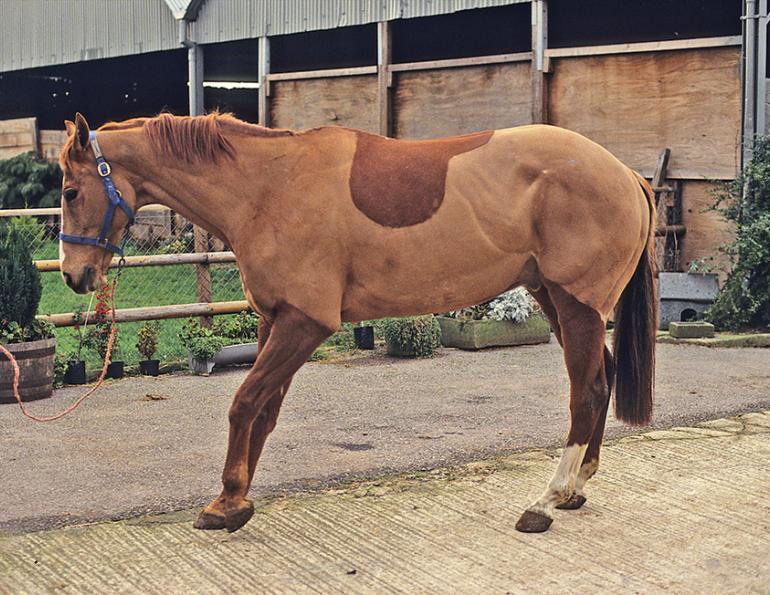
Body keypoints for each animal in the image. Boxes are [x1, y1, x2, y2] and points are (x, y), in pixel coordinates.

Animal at [58, 111, 656, 534]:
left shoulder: (304, 323)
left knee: (587, 391)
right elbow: (264, 411)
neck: (269, 186)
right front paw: (237, 497)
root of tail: (627, 175)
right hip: (554, 298)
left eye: (69, 191)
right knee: (599, 378)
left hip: (576, 304)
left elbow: (244, 402)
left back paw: (547, 500)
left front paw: (226, 502)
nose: (73, 274)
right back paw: (576, 488)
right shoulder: (274, 320)